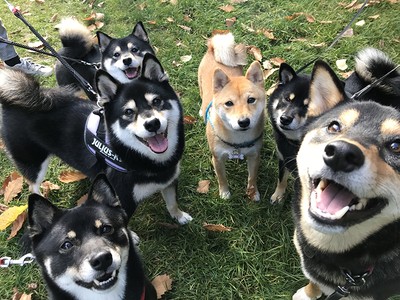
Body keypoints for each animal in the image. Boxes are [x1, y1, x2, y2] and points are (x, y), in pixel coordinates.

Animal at [0, 54, 192, 224]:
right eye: (128, 112)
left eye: (157, 101)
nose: (152, 124)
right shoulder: (122, 199)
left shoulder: (169, 180)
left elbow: (172, 202)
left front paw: (179, 216)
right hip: (33, 163)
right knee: (32, 187)